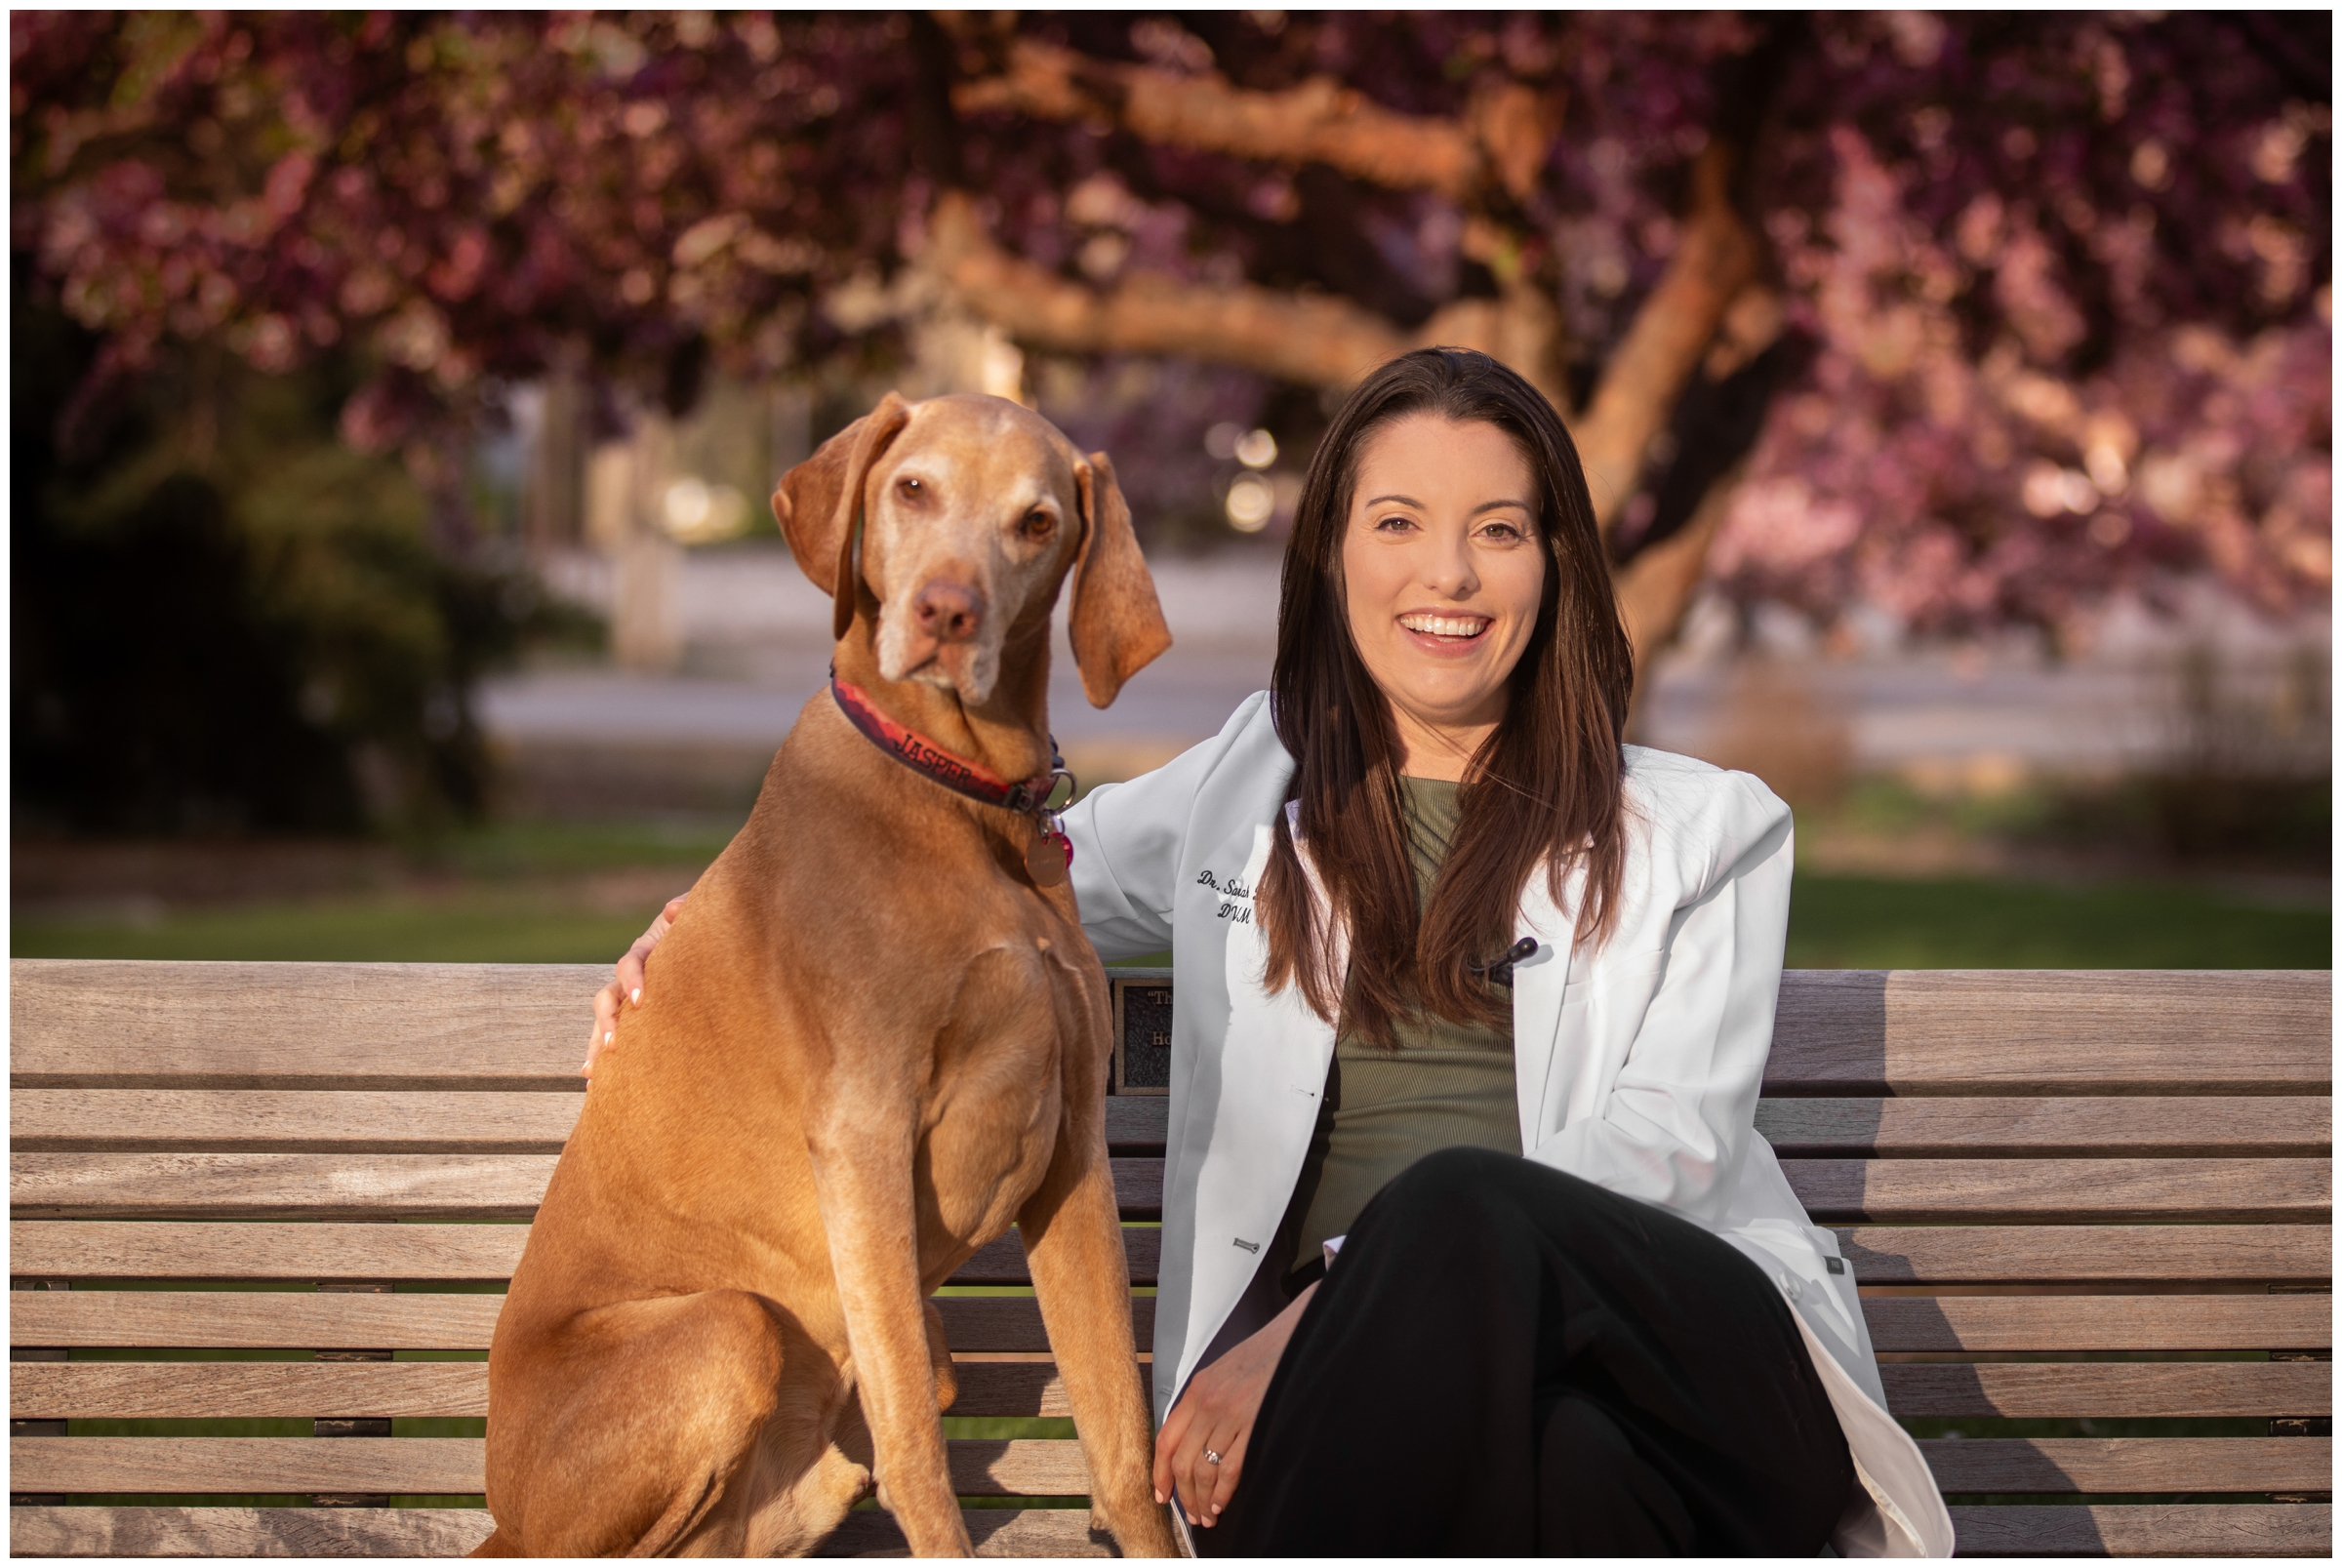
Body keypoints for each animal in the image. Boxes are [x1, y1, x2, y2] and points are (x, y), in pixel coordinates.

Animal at [475, 395, 1171, 1563]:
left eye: (1037, 521)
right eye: (913, 488)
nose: (945, 611)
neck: (959, 796)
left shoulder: (1073, 1151)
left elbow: (1121, 1436)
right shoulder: (864, 1138)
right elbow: (920, 1456)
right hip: (730, 1326)